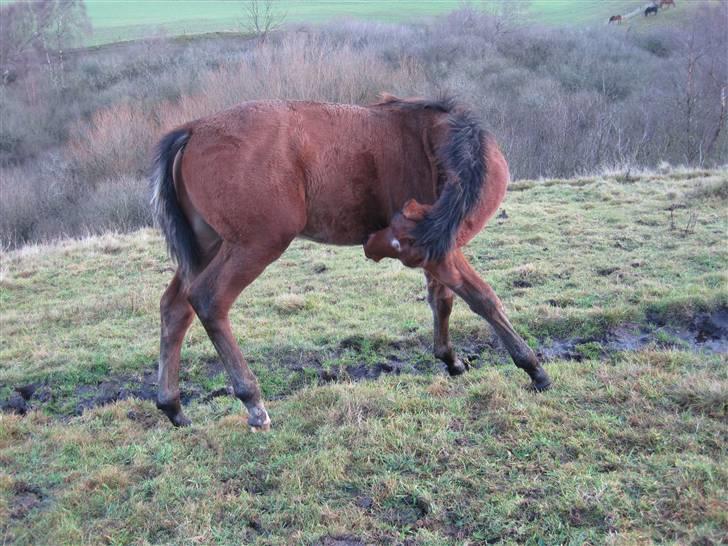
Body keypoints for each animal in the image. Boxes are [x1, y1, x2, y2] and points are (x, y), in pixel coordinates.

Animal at [152, 96, 552, 430]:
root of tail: (195, 130)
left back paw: (173, 406)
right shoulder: (442, 253)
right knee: (209, 301)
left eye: (398, 243)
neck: (430, 141)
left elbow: (444, 301)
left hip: (209, 246)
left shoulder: (439, 251)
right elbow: (482, 298)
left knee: (176, 307)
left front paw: (451, 359)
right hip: (255, 246)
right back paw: (252, 401)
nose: (370, 246)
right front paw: (532, 367)